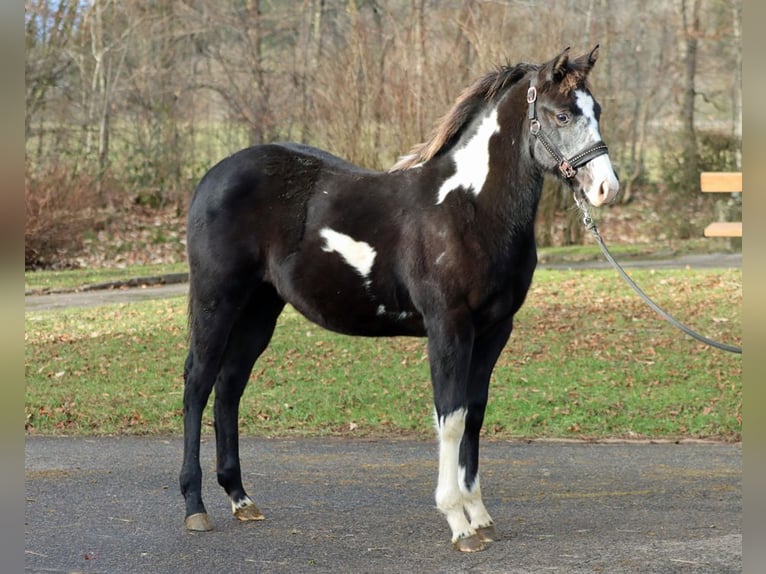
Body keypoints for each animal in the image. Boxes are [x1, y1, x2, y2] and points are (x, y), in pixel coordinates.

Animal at [179, 45, 619, 552]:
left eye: (597, 111)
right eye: (562, 115)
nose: (606, 188)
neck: (467, 209)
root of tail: (212, 176)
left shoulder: (493, 331)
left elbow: (474, 414)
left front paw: (480, 515)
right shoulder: (448, 327)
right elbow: (449, 417)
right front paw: (458, 523)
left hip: (259, 310)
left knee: (229, 387)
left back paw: (240, 498)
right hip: (217, 301)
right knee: (198, 385)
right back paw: (194, 506)